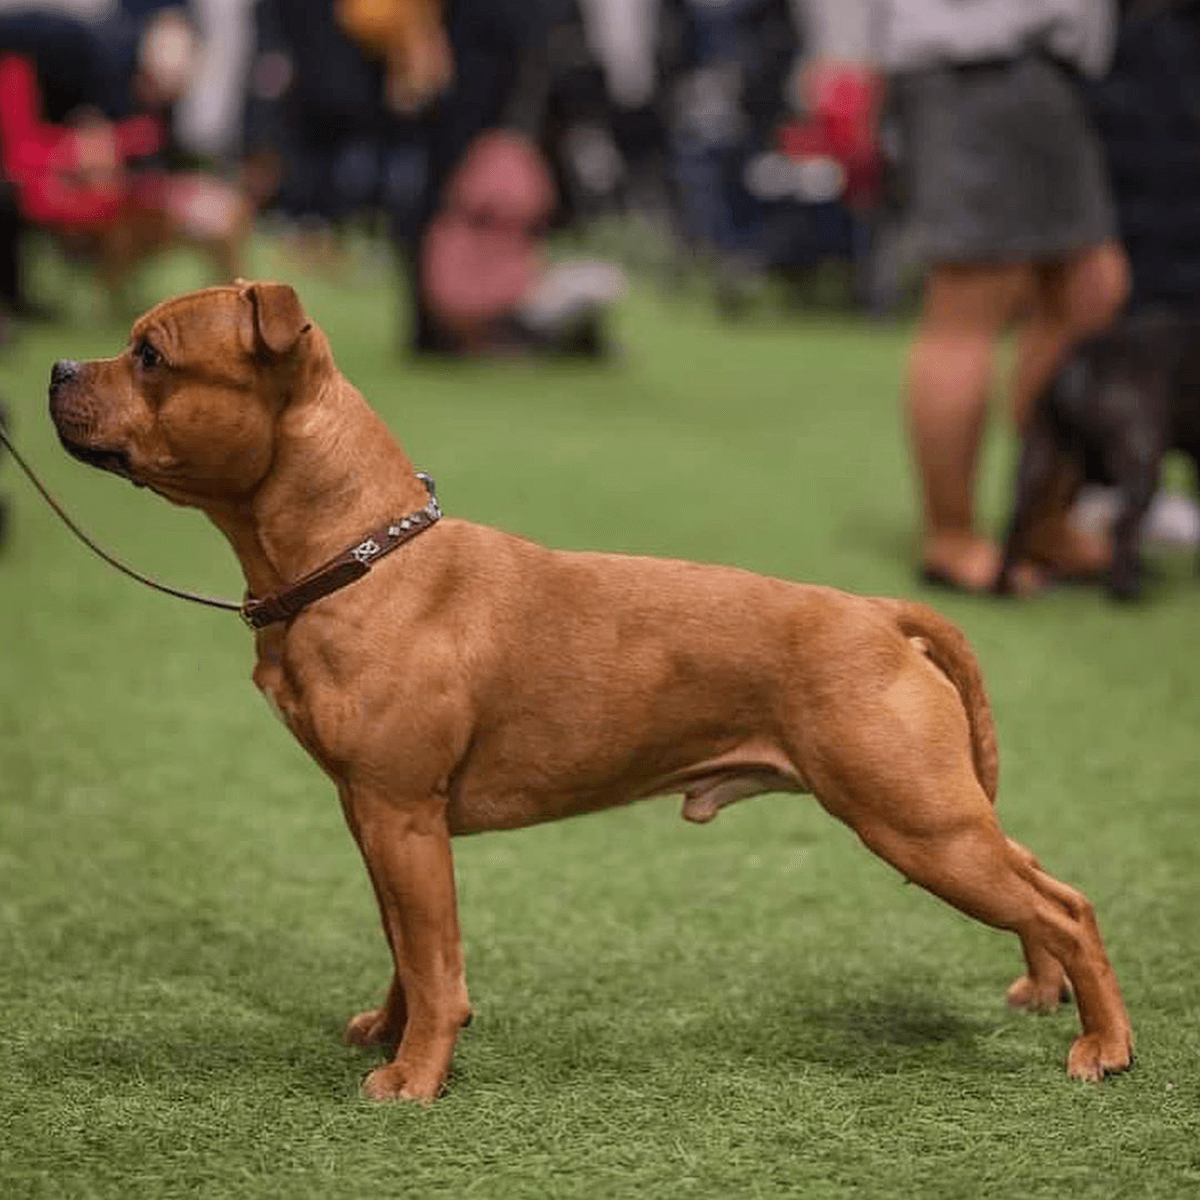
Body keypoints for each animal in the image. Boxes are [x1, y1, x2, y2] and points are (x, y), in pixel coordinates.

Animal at [46, 278, 1132, 1099]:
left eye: (151, 356)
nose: (55, 371)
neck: (357, 556)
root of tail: (875, 612)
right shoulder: (380, 818)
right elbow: (405, 946)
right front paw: (392, 1032)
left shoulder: (402, 814)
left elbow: (434, 963)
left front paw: (417, 1077)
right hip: (942, 814)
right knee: (1044, 883)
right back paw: (1049, 996)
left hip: (916, 824)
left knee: (1067, 908)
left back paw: (1105, 1045)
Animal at [993, 312, 1200, 600]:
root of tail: (1079, 366)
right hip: (1140, 457)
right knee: (1123, 525)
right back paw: (1127, 591)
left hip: (1040, 450)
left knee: (1018, 517)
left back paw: (1004, 586)